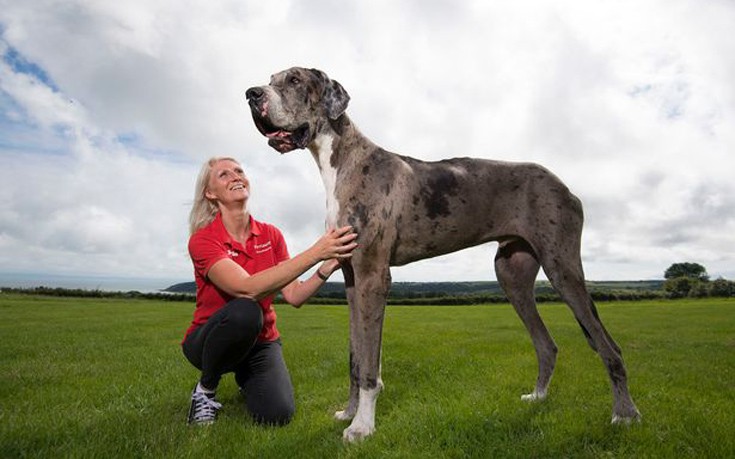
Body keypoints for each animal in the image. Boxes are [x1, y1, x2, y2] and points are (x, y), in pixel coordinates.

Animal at [244, 67, 640, 442]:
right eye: (270, 79)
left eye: (295, 79)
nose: (251, 93)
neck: (341, 160)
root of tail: (565, 185)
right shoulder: (352, 280)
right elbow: (355, 359)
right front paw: (349, 413)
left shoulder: (373, 276)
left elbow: (370, 366)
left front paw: (362, 428)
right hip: (511, 274)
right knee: (547, 345)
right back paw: (538, 397)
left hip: (562, 268)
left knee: (609, 347)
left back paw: (624, 414)